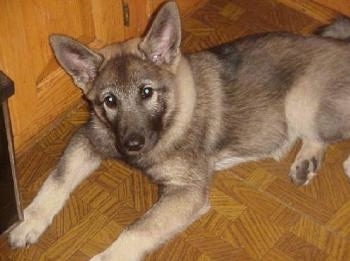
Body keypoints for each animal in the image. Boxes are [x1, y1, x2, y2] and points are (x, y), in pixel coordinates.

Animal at [8, 2, 350, 260]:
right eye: (109, 101)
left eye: (147, 92)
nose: (132, 144)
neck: (171, 116)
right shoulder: (90, 137)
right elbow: (56, 180)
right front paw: (28, 221)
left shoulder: (186, 192)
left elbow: (138, 229)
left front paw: (107, 256)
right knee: (317, 137)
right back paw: (306, 162)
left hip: (300, 101)